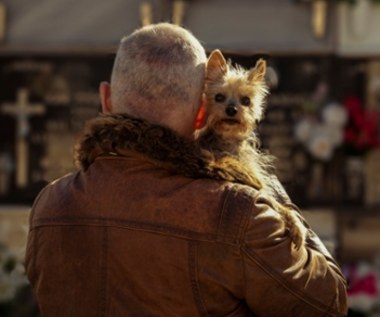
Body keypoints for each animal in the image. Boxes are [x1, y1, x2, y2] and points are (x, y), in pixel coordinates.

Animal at [196, 49, 306, 248]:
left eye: (246, 100)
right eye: (219, 97)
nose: (231, 109)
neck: (228, 141)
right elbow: (276, 204)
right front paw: (297, 225)